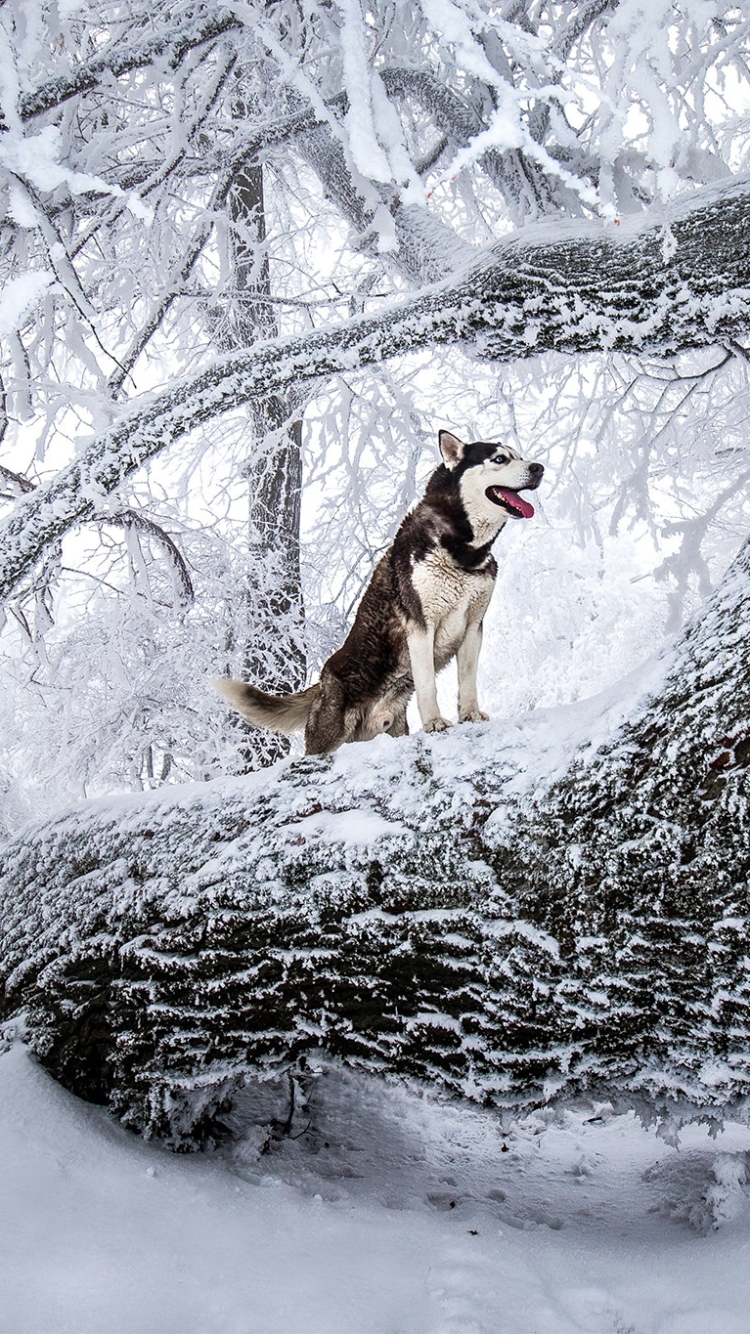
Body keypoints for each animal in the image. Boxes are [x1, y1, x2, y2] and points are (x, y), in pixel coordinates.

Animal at [213, 432, 539, 757]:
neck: (464, 552)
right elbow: (427, 685)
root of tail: (322, 681)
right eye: (499, 459)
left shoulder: (473, 625)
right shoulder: (421, 625)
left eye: (520, 456)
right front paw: (434, 722)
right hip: (328, 737)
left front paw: (469, 715)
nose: (539, 468)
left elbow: (468, 680)